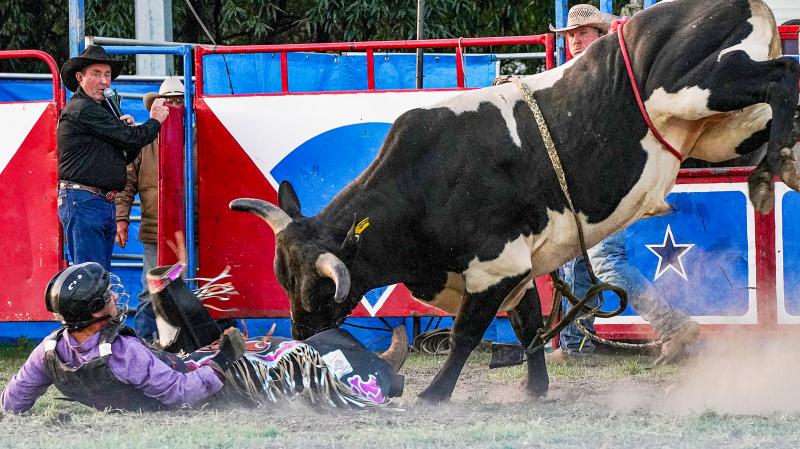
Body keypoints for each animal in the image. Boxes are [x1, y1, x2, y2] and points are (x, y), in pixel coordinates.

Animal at [230, 0, 800, 403]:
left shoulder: (495, 264)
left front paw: (434, 393)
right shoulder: (520, 267)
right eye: (284, 277)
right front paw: (535, 386)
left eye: (317, 288)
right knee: (777, 102)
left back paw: (769, 173)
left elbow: (466, 333)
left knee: (784, 75)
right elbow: (528, 322)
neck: (422, 184)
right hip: (723, 128)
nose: (301, 336)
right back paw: (781, 164)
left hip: (699, 84)